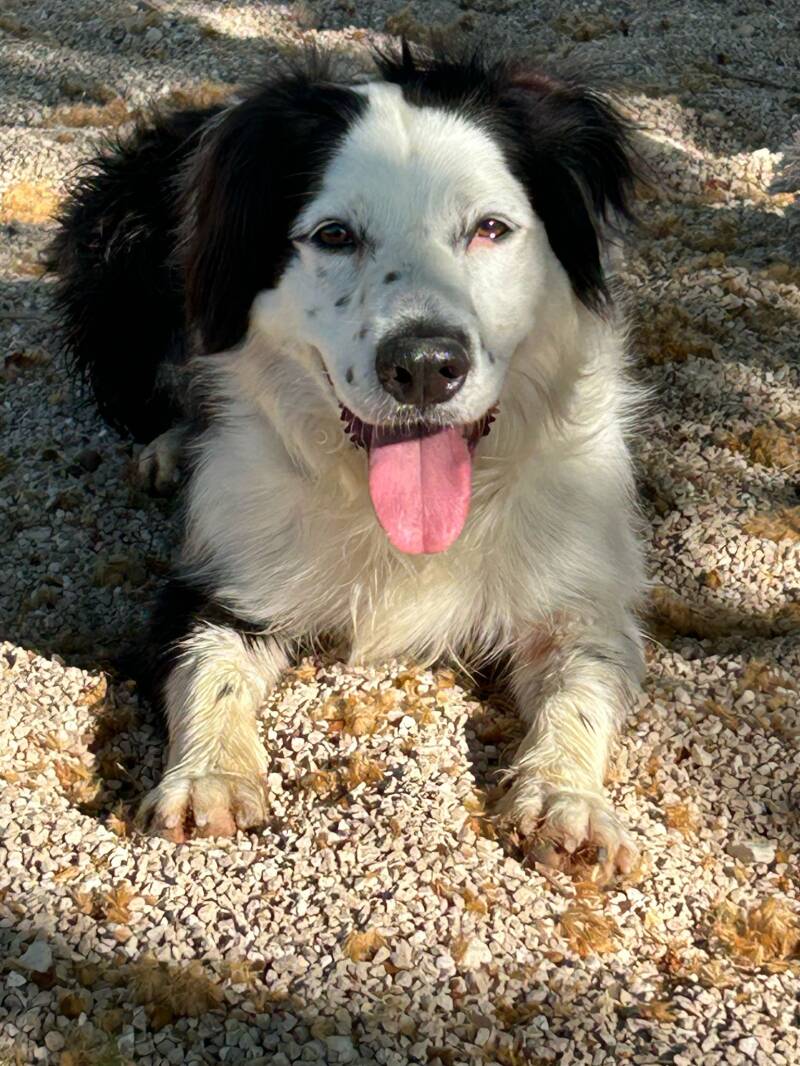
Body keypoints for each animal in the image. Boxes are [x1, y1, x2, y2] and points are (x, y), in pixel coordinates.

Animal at [50, 44, 646, 871]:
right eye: (334, 236)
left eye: (490, 229)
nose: (425, 366)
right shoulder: (221, 575)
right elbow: (208, 665)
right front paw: (208, 778)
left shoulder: (580, 592)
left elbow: (582, 681)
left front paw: (567, 799)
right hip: (120, 251)